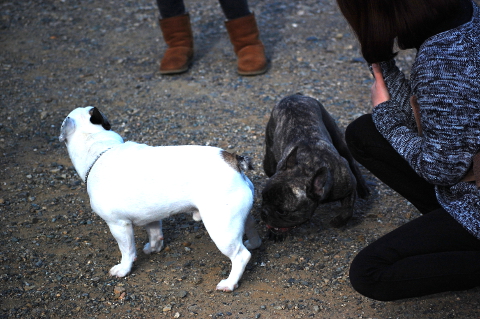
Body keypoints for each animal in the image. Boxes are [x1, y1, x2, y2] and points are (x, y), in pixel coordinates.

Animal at [61, 107, 262, 292]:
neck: (98, 148)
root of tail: (234, 161)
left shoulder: (118, 224)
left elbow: (126, 249)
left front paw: (124, 269)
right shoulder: (150, 216)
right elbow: (155, 234)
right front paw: (153, 248)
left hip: (222, 228)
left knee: (241, 256)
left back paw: (229, 283)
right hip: (238, 217)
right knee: (251, 228)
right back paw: (253, 243)